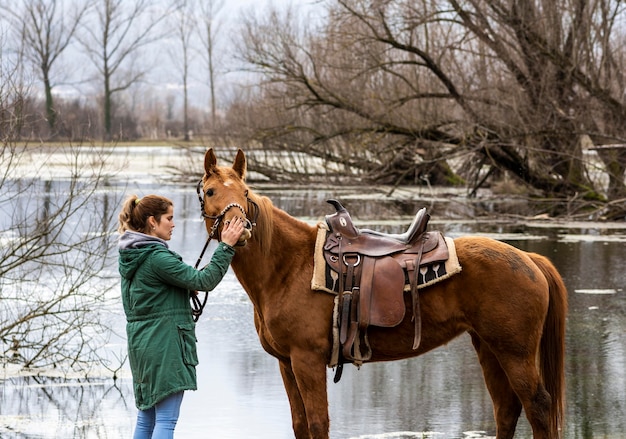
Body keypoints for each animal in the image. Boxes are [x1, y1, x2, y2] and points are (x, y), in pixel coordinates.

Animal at [199, 150, 564, 438]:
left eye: (245, 191)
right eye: (210, 190)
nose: (240, 230)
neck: (290, 265)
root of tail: (529, 258)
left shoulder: (307, 360)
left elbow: (318, 424)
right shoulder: (287, 364)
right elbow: (301, 425)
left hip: (514, 352)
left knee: (538, 407)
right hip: (489, 348)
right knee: (506, 409)